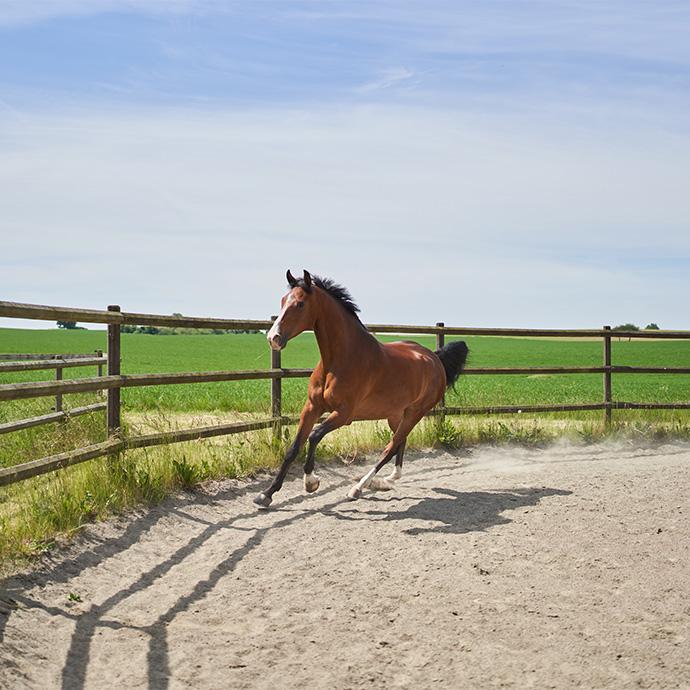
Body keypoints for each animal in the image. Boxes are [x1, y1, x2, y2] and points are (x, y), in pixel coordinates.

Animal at [253, 272, 468, 508]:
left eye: (300, 304)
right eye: (283, 301)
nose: (273, 338)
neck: (340, 360)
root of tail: (435, 359)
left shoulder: (344, 414)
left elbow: (314, 436)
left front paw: (311, 482)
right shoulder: (311, 407)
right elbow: (293, 448)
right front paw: (266, 494)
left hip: (415, 413)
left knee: (391, 447)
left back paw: (358, 488)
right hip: (395, 414)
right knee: (400, 443)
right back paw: (386, 481)